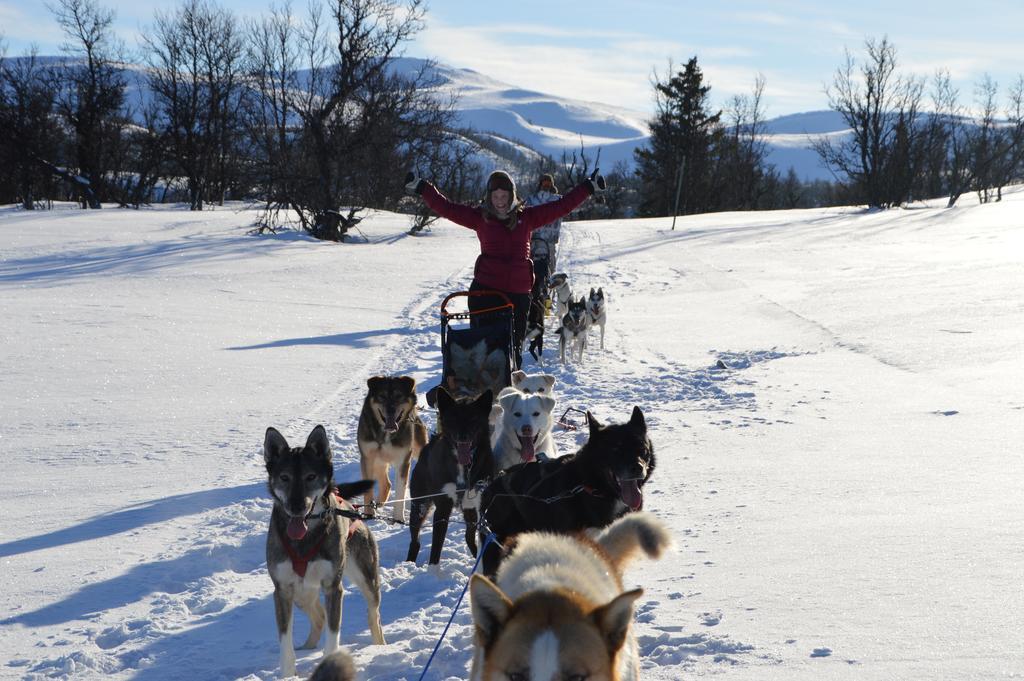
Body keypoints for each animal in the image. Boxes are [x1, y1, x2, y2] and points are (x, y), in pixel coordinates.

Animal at [264, 426, 387, 675]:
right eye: (284, 477)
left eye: (310, 477)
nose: (297, 507)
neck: (304, 539)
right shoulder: (282, 590)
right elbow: (285, 642)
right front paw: (288, 674)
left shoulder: (333, 587)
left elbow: (333, 635)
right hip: (301, 593)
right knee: (319, 616)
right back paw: (307, 647)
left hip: (367, 579)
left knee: (374, 616)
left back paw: (379, 648)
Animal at [356, 376, 428, 520]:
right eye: (382, 396)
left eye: (398, 396)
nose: (391, 410)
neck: (386, 434)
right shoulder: (367, 458)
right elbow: (368, 491)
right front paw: (369, 514)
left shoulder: (403, 461)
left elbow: (400, 493)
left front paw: (399, 519)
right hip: (378, 461)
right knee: (386, 484)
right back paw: (378, 504)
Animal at [405, 387, 497, 561]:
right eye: (453, 418)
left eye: (473, 418)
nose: (463, 437)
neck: (463, 467)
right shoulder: (442, 508)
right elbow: (436, 548)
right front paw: (433, 567)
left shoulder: (479, 506)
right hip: (419, 505)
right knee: (415, 540)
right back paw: (410, 562)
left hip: (469, 512)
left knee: (469, 537)